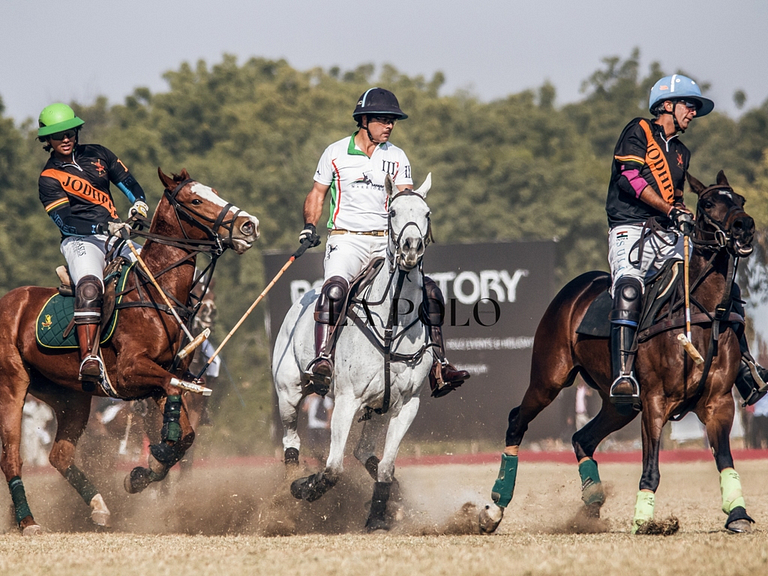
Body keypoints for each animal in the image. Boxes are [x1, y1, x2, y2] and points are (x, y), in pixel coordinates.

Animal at [0, 170, 260, 536]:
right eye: (195, 200)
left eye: (215, 191)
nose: (249, 225)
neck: (155, 293)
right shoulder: (130, 373)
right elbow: (172, 429)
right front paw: (153, 462)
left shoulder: (163, 379)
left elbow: (185, 435)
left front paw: (142, 474)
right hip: (12, 385)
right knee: (11, 456)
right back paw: (28, 522)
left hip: (70, 395)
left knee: (60, 456)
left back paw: (98, 507)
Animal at [272, 172, 436, 532]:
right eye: (393, 212)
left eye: (427, 213)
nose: (411, 248)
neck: (390, 322)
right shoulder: (347, 399)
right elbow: (333, 468)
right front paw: (304, 487)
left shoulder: (407, 404)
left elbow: (386, 466)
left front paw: (377, 517)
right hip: (288, 390)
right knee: (291, 440)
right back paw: (289, 483)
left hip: (379, 407)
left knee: (363, 452)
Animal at [484, 171, 760, 536]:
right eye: (708, 203)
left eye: (740, 200)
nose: (745, 226)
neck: (700, 314)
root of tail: (574, 289)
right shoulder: (656, 400)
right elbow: (651, 466)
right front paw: (644, 519)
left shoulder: (719, 402)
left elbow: (725, 459)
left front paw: (738, 513)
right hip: (550, 377)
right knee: (518, 419)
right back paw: (495, 505)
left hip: (619, 404)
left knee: (582, 438)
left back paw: (591, 504)